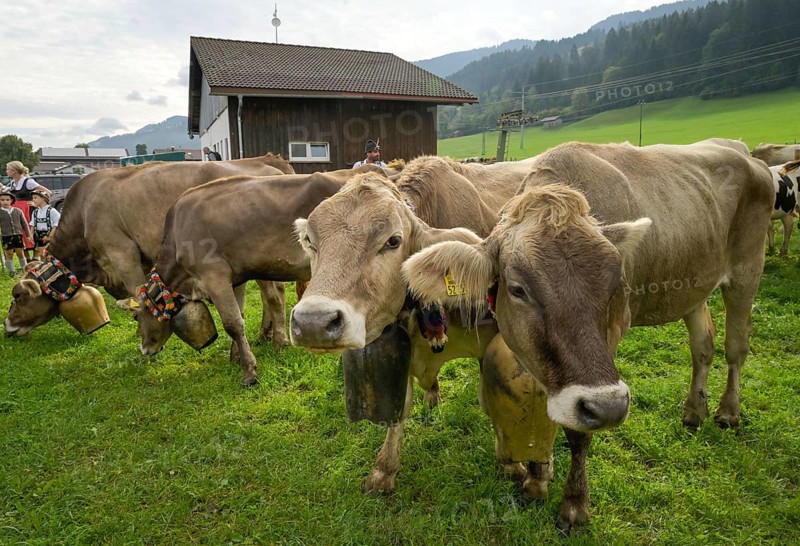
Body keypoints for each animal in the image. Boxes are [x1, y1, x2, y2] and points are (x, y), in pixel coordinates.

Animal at [4, 154, 294, 343]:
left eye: (18, 295)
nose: (7, 326)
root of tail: (266, 161)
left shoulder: (123, 254)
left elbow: (138, 293)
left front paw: (141, 331)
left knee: (273, 293)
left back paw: (277, 338)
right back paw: (265, 334)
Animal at [118, 166, 387, 386]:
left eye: (136, 318)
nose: (145, 350)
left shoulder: (214, 276)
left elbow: (232, 323)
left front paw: (249, 371)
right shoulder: (234, 279)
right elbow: (240, 316)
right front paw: (235, 356)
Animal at [289, 158, 572, 519]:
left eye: (393, 241)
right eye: (310, 241)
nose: (314, 322)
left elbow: (496, 398)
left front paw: (518, 467)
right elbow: (402, 404)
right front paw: (383, 470)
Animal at [402, 139, 774, 529]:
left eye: (615, 285)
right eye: (518, 289)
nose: (611, 407)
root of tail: (742, 152)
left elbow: (578, 431)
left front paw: (574, 504)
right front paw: (537, 477)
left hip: (748, 271)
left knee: (736, 347)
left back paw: (728, 411)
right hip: (695, 286)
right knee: (703, 346)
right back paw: (694, 411)